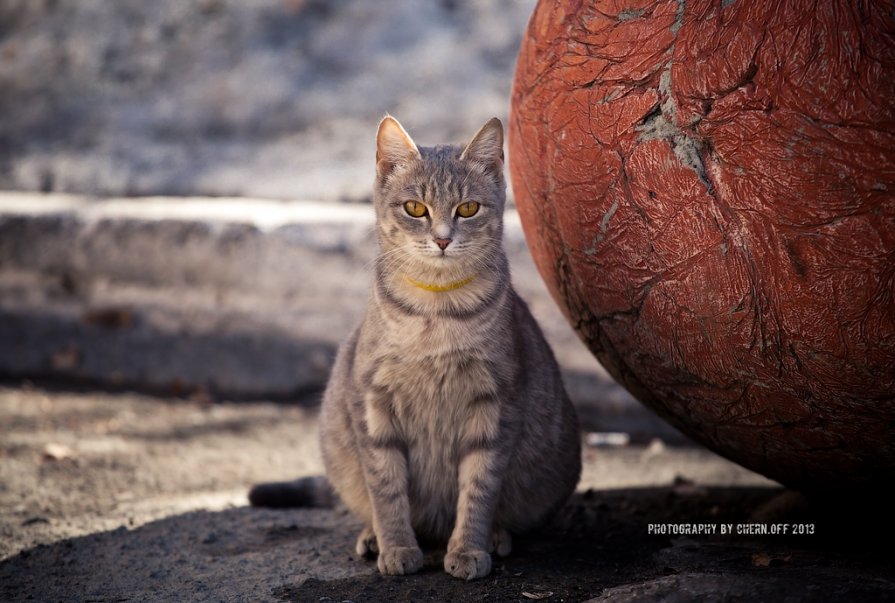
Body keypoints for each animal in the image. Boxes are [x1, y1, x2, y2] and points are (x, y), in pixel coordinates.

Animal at [250, 115, 580, 584]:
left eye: (467, 209)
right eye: (415, 208)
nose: (442, 239)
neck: (435, 313)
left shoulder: (496, 405)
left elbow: (478, 489)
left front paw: (468, 548)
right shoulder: (373, 401)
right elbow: (387, 489)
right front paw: (397, 546)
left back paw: (496, 537)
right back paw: (374, 537)